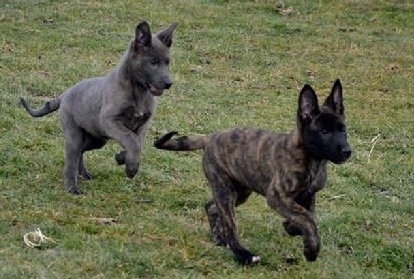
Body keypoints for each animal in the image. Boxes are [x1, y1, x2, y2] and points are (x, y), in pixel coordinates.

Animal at [20, 21, 178, 195]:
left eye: (167, 62)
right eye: (153, 62)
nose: (169, 83)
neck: (138, 91)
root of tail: (65, 94)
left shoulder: (144, 123)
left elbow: (137, 143)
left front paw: (123, 158)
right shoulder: (109, 120)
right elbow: (132, 140)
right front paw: (131, 167)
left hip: (96, 138)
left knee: (80, 152)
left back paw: (83, 173)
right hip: (75, 135)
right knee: (71, 159)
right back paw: (72, 187)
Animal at [154, 80, 350, 266]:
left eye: (343, 129)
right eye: (324, 131)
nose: (347, 151)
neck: (311, 159)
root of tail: (210, 138)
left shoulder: (308, 195)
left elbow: (307, 216)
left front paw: (292, 227)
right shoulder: (276, 196)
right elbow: (308, 219)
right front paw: (311, 250)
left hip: (240, 191)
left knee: (212, 207)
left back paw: (219, 239)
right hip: (225, 189)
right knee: (229, 225)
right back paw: (244, 255)